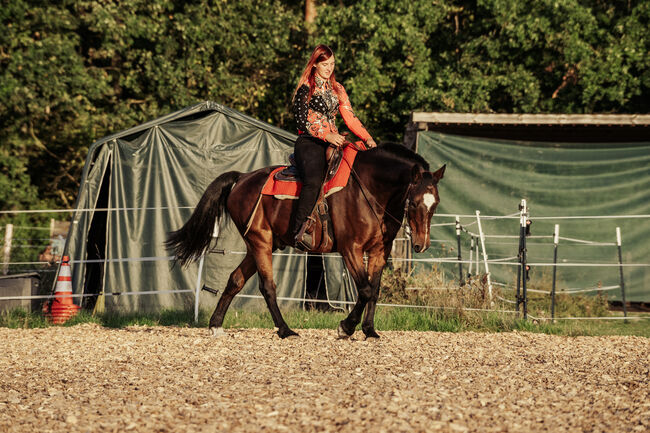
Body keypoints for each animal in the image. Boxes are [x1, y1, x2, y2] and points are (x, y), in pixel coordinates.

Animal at [165, 143, 442, 340]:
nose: (421, 244)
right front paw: (346, 328)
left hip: (258, 246)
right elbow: (364, 290)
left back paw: (215, 325)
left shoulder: (379, 251)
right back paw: (285, 330)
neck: (370, 190)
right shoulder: (350, 249)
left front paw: (370, 330)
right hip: (260, 241)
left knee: (235, 279)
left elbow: (373, 290)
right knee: (267, 287)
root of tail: (242, 178)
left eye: (435, 203)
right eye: (414, 202)